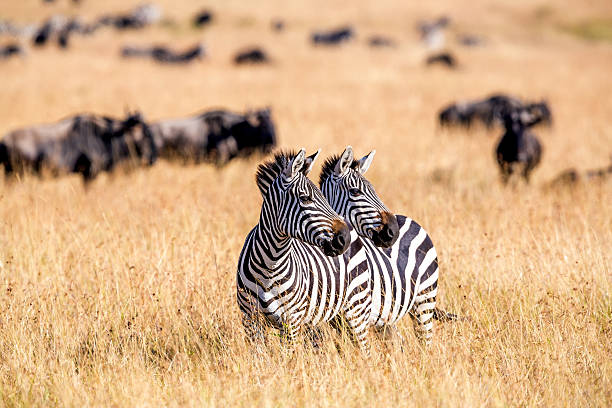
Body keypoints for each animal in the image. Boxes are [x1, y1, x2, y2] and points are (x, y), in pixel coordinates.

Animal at [237, 148, 372, 352]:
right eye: (305, 198)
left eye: (323, 197)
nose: (344, 239)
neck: (270, 263)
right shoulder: (251, 320)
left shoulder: (290, 322)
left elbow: (289, 358)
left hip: (356, 307)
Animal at [320, 147, 454, 344]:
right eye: (355, 192)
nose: (393, 231)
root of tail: (408, 219)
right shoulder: (337, 320)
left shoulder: (359, 312)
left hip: (424, 299)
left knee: (425, 341)